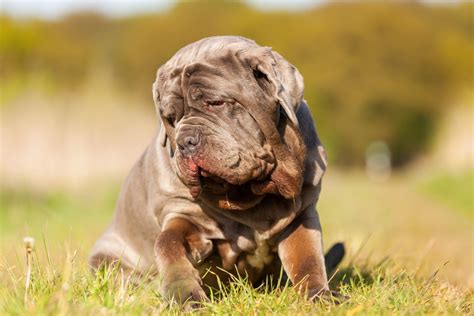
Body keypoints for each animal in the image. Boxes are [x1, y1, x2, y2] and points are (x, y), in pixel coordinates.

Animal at [90, 35, 344, 306]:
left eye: (215, 103)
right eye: (170, 118)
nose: (185, 141)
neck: (250, 197)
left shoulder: (301, 215)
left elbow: (308, 260)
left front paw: (319, 296)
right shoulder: (182, 214)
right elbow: (168, 245)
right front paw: (185, 296)